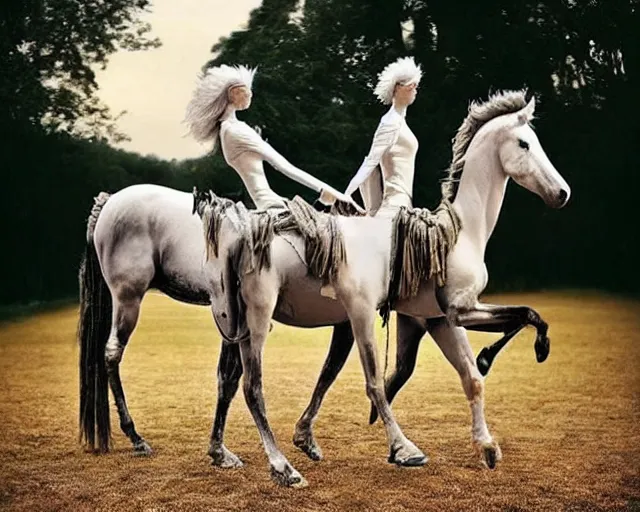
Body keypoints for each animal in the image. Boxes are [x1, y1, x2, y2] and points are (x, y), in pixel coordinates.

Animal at [195, 90, 571, 487]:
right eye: (524, 143)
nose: (562, 193)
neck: (457, 233)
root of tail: (242, 234)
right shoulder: (449, 309)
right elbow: (377, 382)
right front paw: (404, 449)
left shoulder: (442, 318)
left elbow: (474, 375)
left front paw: (486, 445)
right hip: (263, 317)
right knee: (253, 387)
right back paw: (283, 468)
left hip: (238, 325)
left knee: (229, 380)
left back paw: (225, 453)